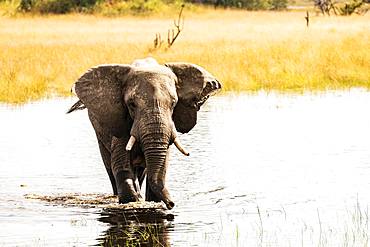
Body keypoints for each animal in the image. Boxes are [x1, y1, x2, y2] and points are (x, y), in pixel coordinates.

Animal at [67, 57, 221, 208]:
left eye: (173, 103)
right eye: (131, 104)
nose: (171, 204)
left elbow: (161, 167)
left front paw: (150, 201)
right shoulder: (120, 121)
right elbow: (121, 165)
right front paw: (134, 200)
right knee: (110, 167)